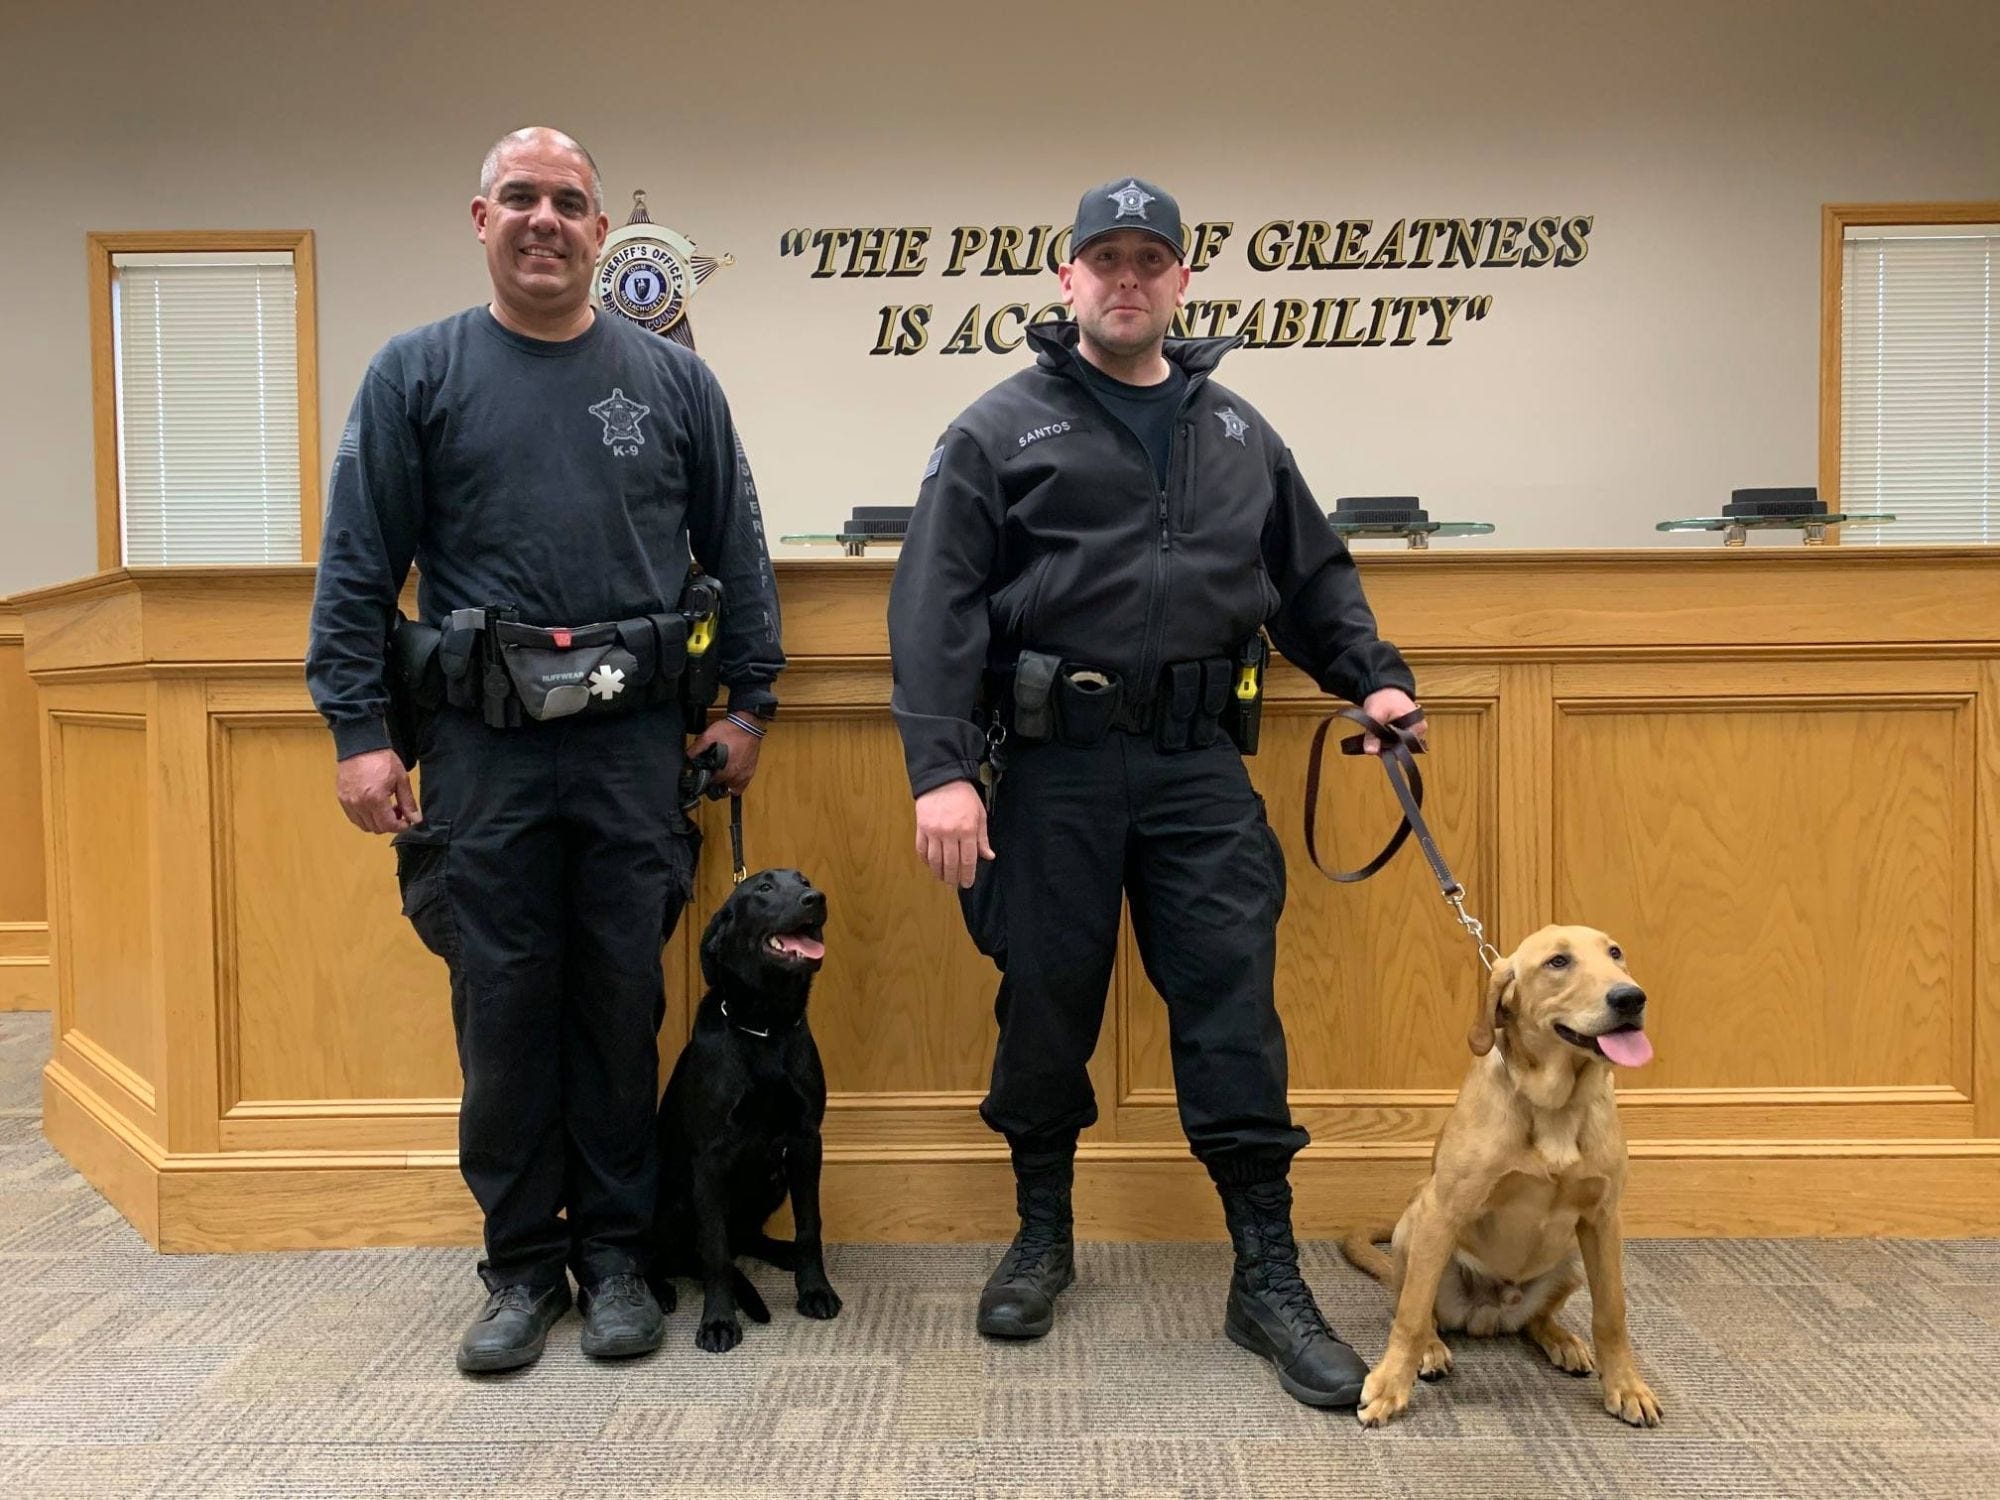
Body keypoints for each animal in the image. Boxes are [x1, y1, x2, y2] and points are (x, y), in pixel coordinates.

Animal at [652, 868, 840, 1352]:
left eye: (803, 880)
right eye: (764, 889)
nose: (817, 899)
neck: (764, 1027)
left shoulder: (805, 1142)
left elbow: (810, 1225)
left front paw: (815, 1290)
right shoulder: (710, 1160)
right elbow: (716, 1252)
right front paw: (718, 1320)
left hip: (774, 1179)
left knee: (747, 1237)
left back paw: (783, 1253)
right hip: (672, 1197)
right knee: (679, 1252)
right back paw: (659, 1289)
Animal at [1344, 928, 1656, 1432]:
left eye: (1615, 953)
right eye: (1557, 962)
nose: (1631, 998)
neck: (1554, 1106)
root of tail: (1488, 1315)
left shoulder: (1604, 1219)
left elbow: (1612, 1313)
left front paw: (1626, 1386)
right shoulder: (1443, 1209)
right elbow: (1411, 1314)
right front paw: (1391, 1385)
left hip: (1571, 1259)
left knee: (1535, 1321)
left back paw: (1563, 1341)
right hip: (1416, 1229)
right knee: (1419, 1307)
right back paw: (1431, 1349)